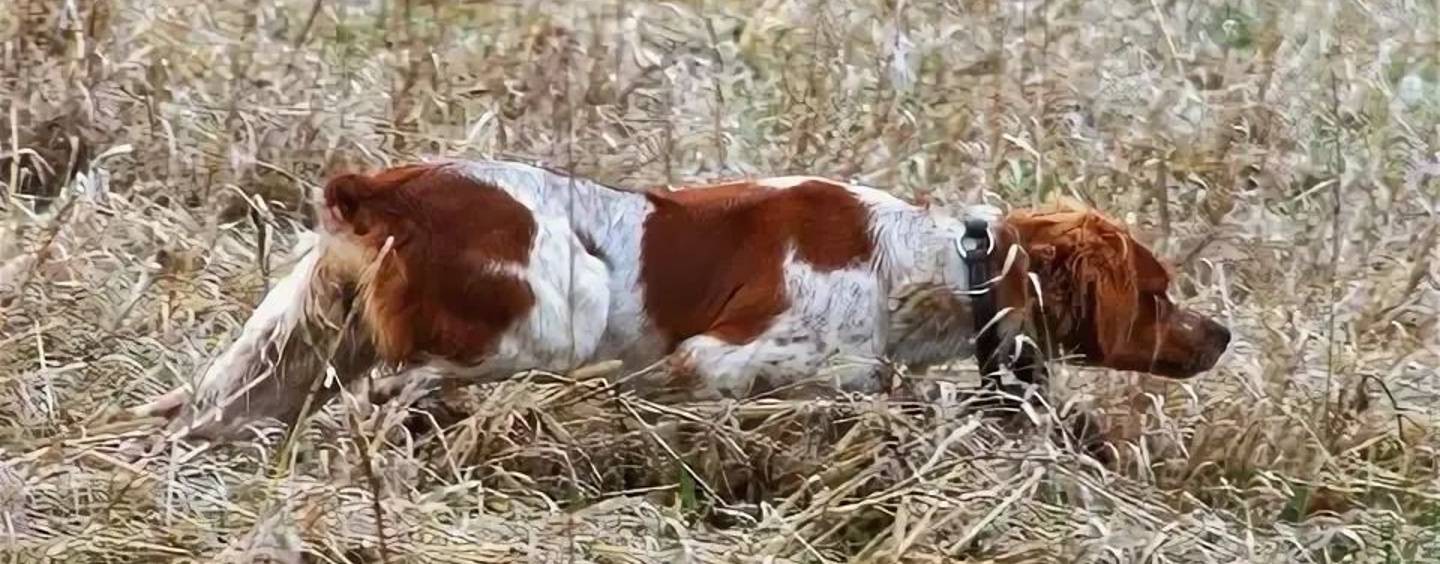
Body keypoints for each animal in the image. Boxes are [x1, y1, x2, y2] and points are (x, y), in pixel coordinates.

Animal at [135, 158, 1232, 440]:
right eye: (1160, 292)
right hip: (564, 304)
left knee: (209, 410)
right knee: (406, 387)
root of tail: (381, 188)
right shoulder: (725, 354)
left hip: (289, 345)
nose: (1223, 333)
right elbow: (846, 380)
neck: (923, 262)